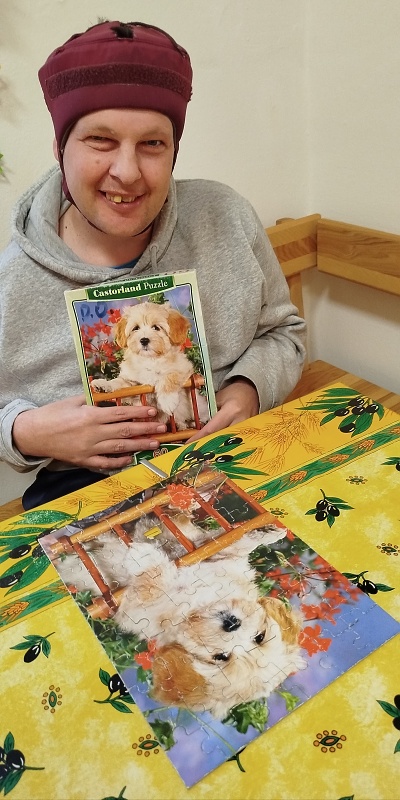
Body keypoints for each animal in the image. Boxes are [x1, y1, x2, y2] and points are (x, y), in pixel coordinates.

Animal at [54, 519, 306, 719]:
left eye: (220, 657)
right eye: (260, 637)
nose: (232, 623)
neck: (201, 605)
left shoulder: (138, 610)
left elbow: (152, 585)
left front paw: (143, 557)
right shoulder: (219, 560)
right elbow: (225, 545)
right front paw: (268, 532)